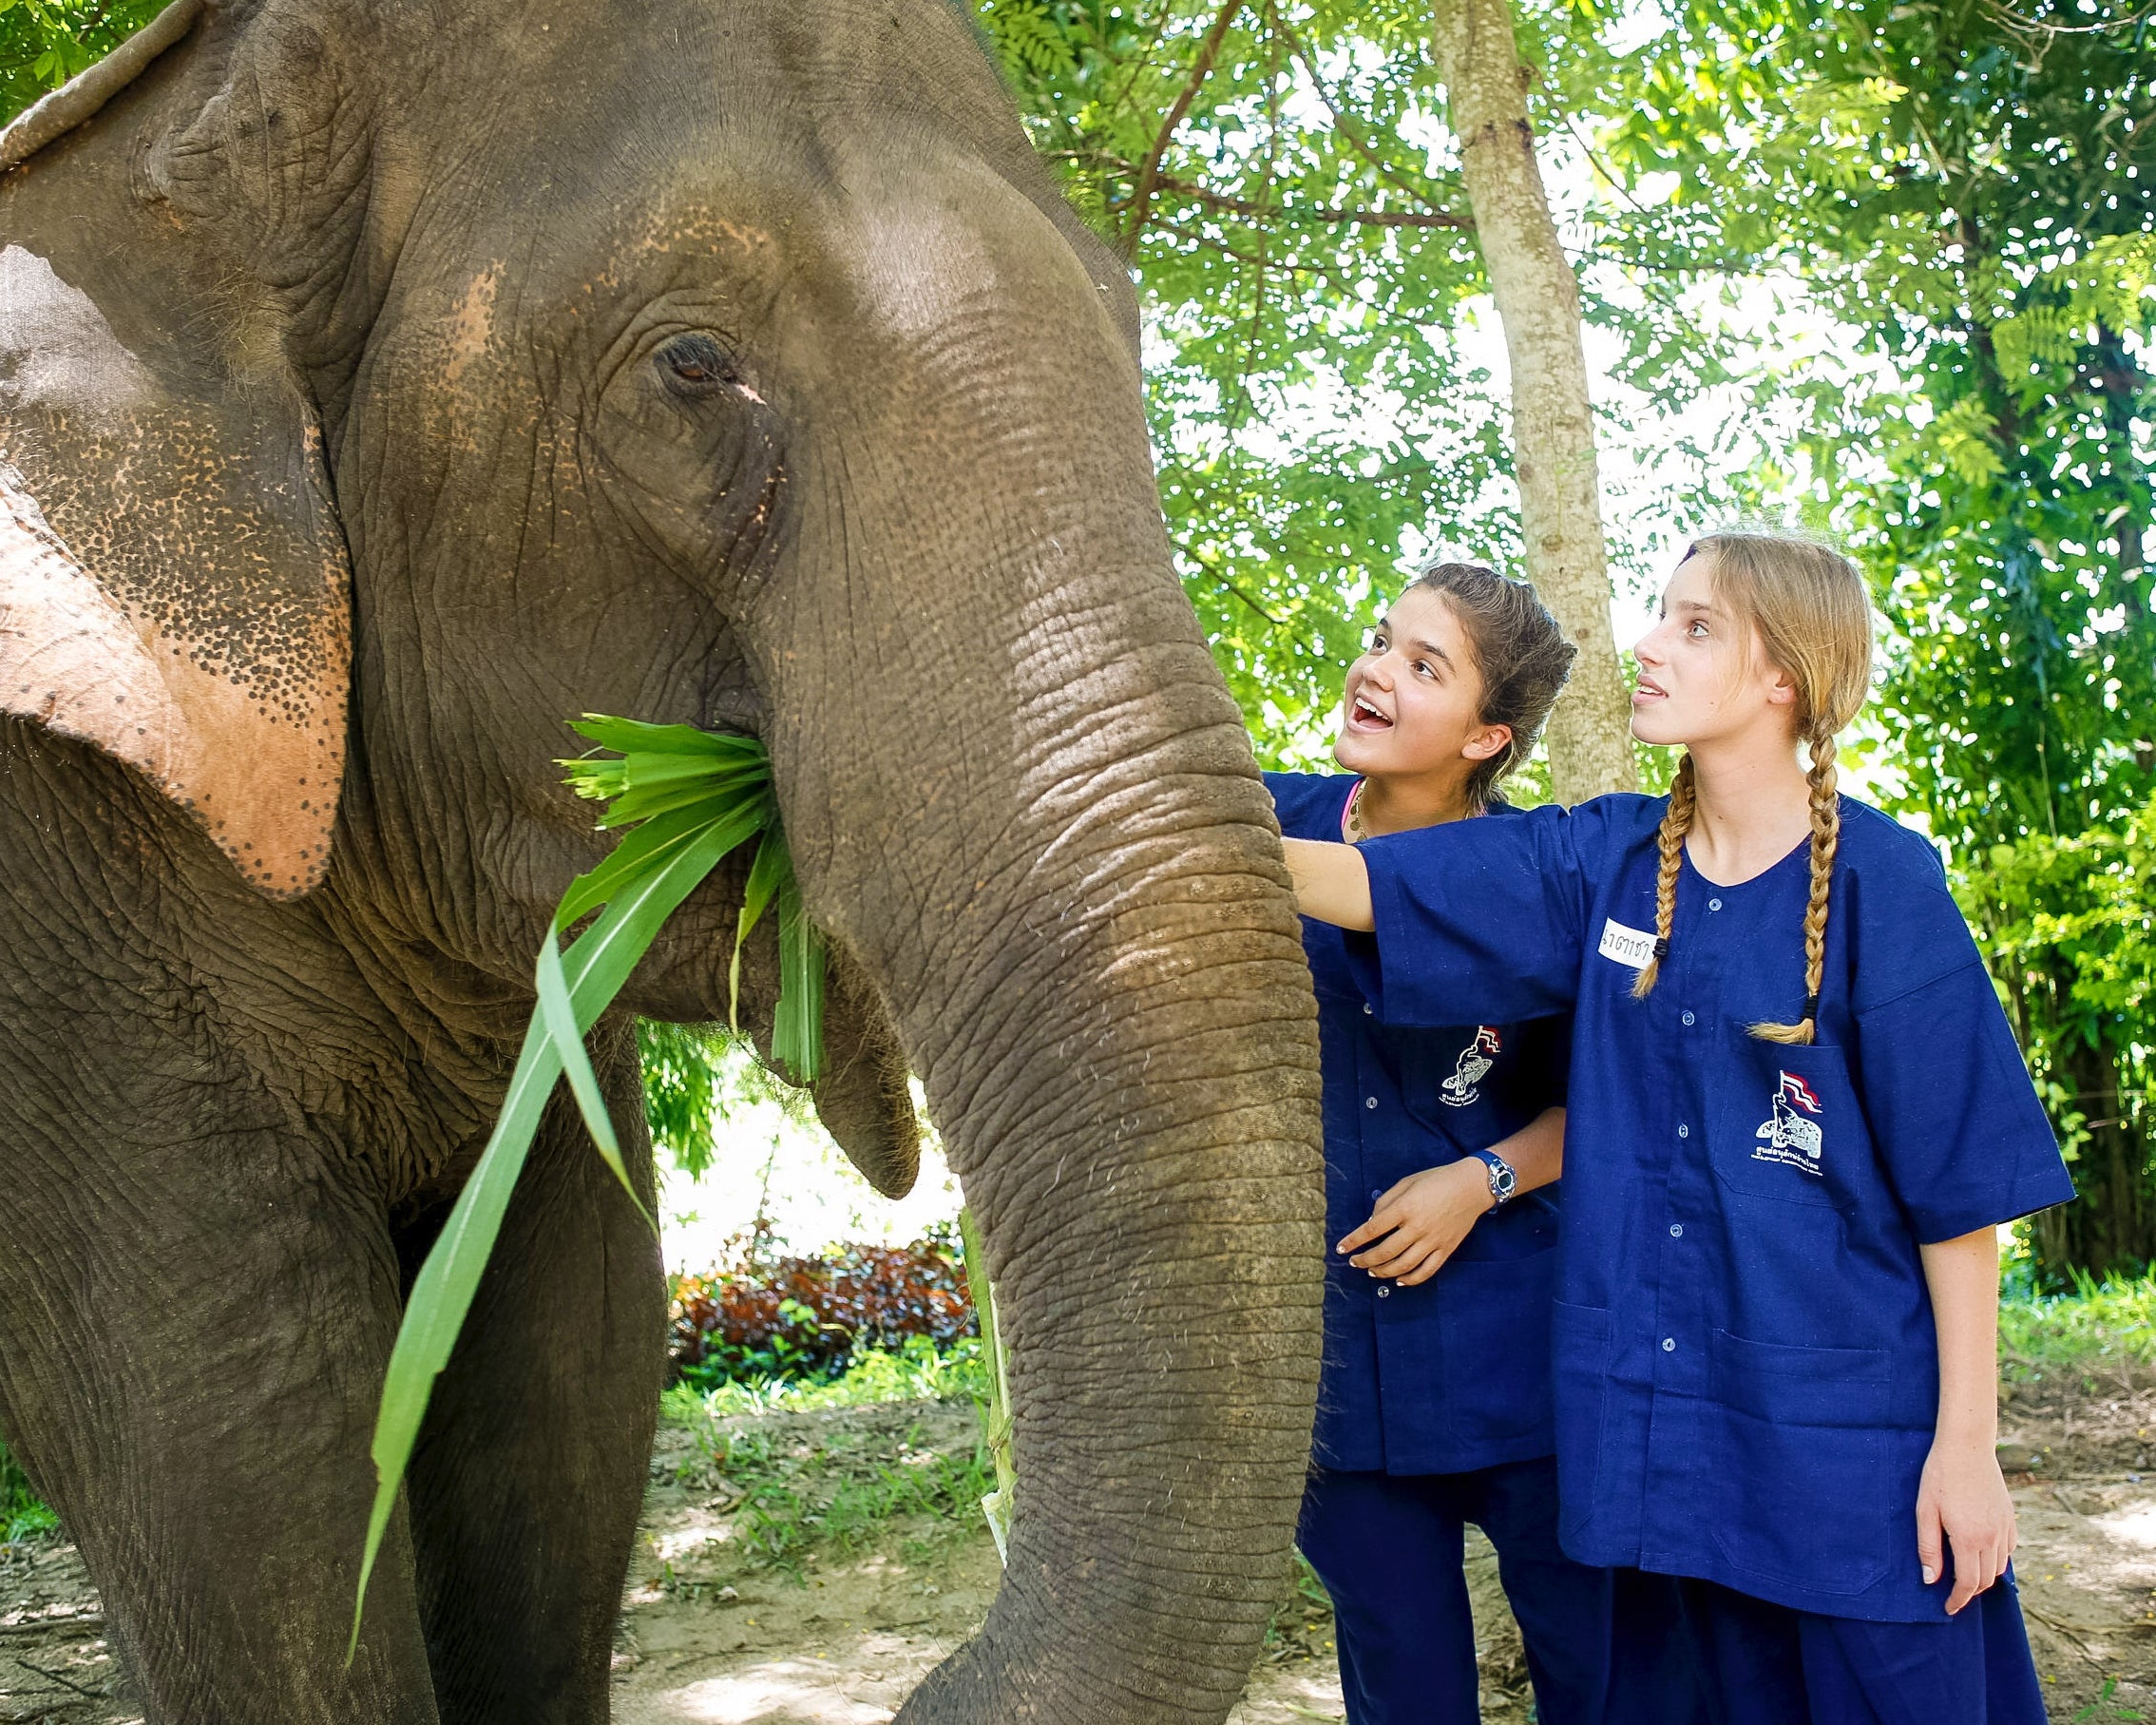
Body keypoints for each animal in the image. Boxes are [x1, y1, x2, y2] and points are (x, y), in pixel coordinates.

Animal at [0, 0, 1327, 1715]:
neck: (143, 133)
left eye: (1127, 323)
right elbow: (237, 1441)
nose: (918, 1673)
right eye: (688, 368)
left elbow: (570, 1375)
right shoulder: (53, 937)